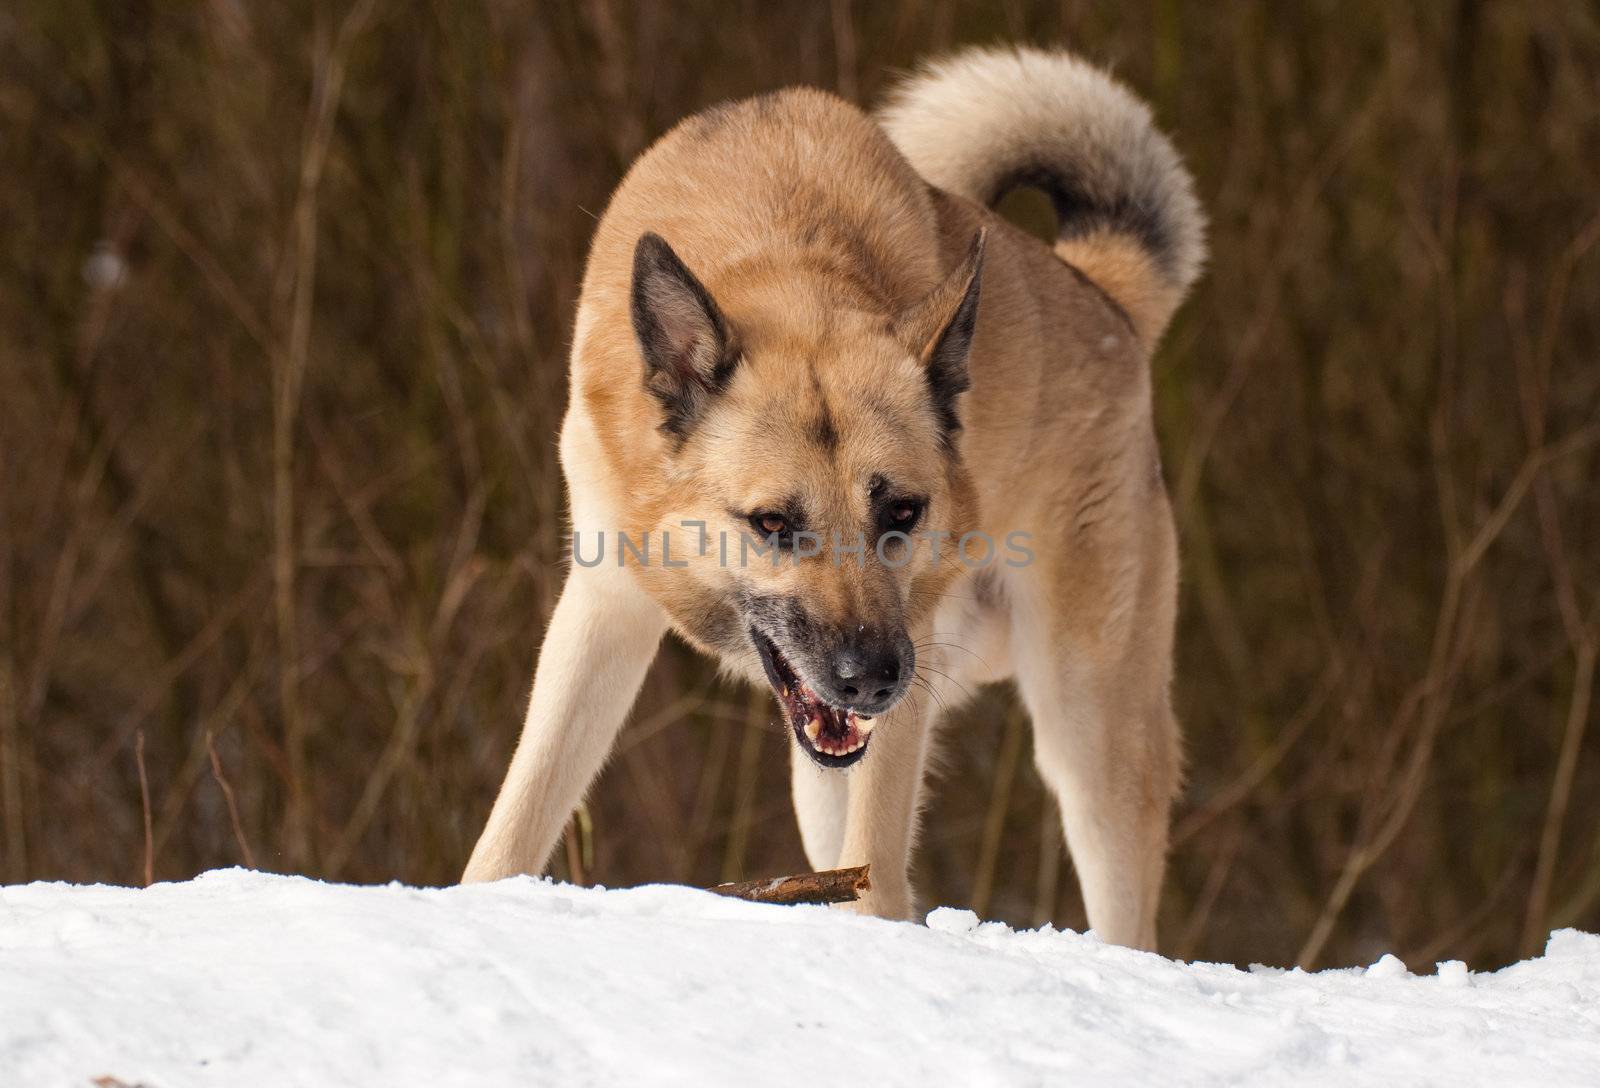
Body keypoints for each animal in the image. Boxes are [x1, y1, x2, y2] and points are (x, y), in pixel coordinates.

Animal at [464, 46, 1203, 947]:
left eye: (902, 513)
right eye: (772, 522)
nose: (872, 680)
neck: (782, 253)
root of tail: (1105, 299)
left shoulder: (913, 645)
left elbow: (877, 873)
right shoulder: (605, 606)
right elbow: (517, 816)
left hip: (1088, 724)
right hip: (827, 763)